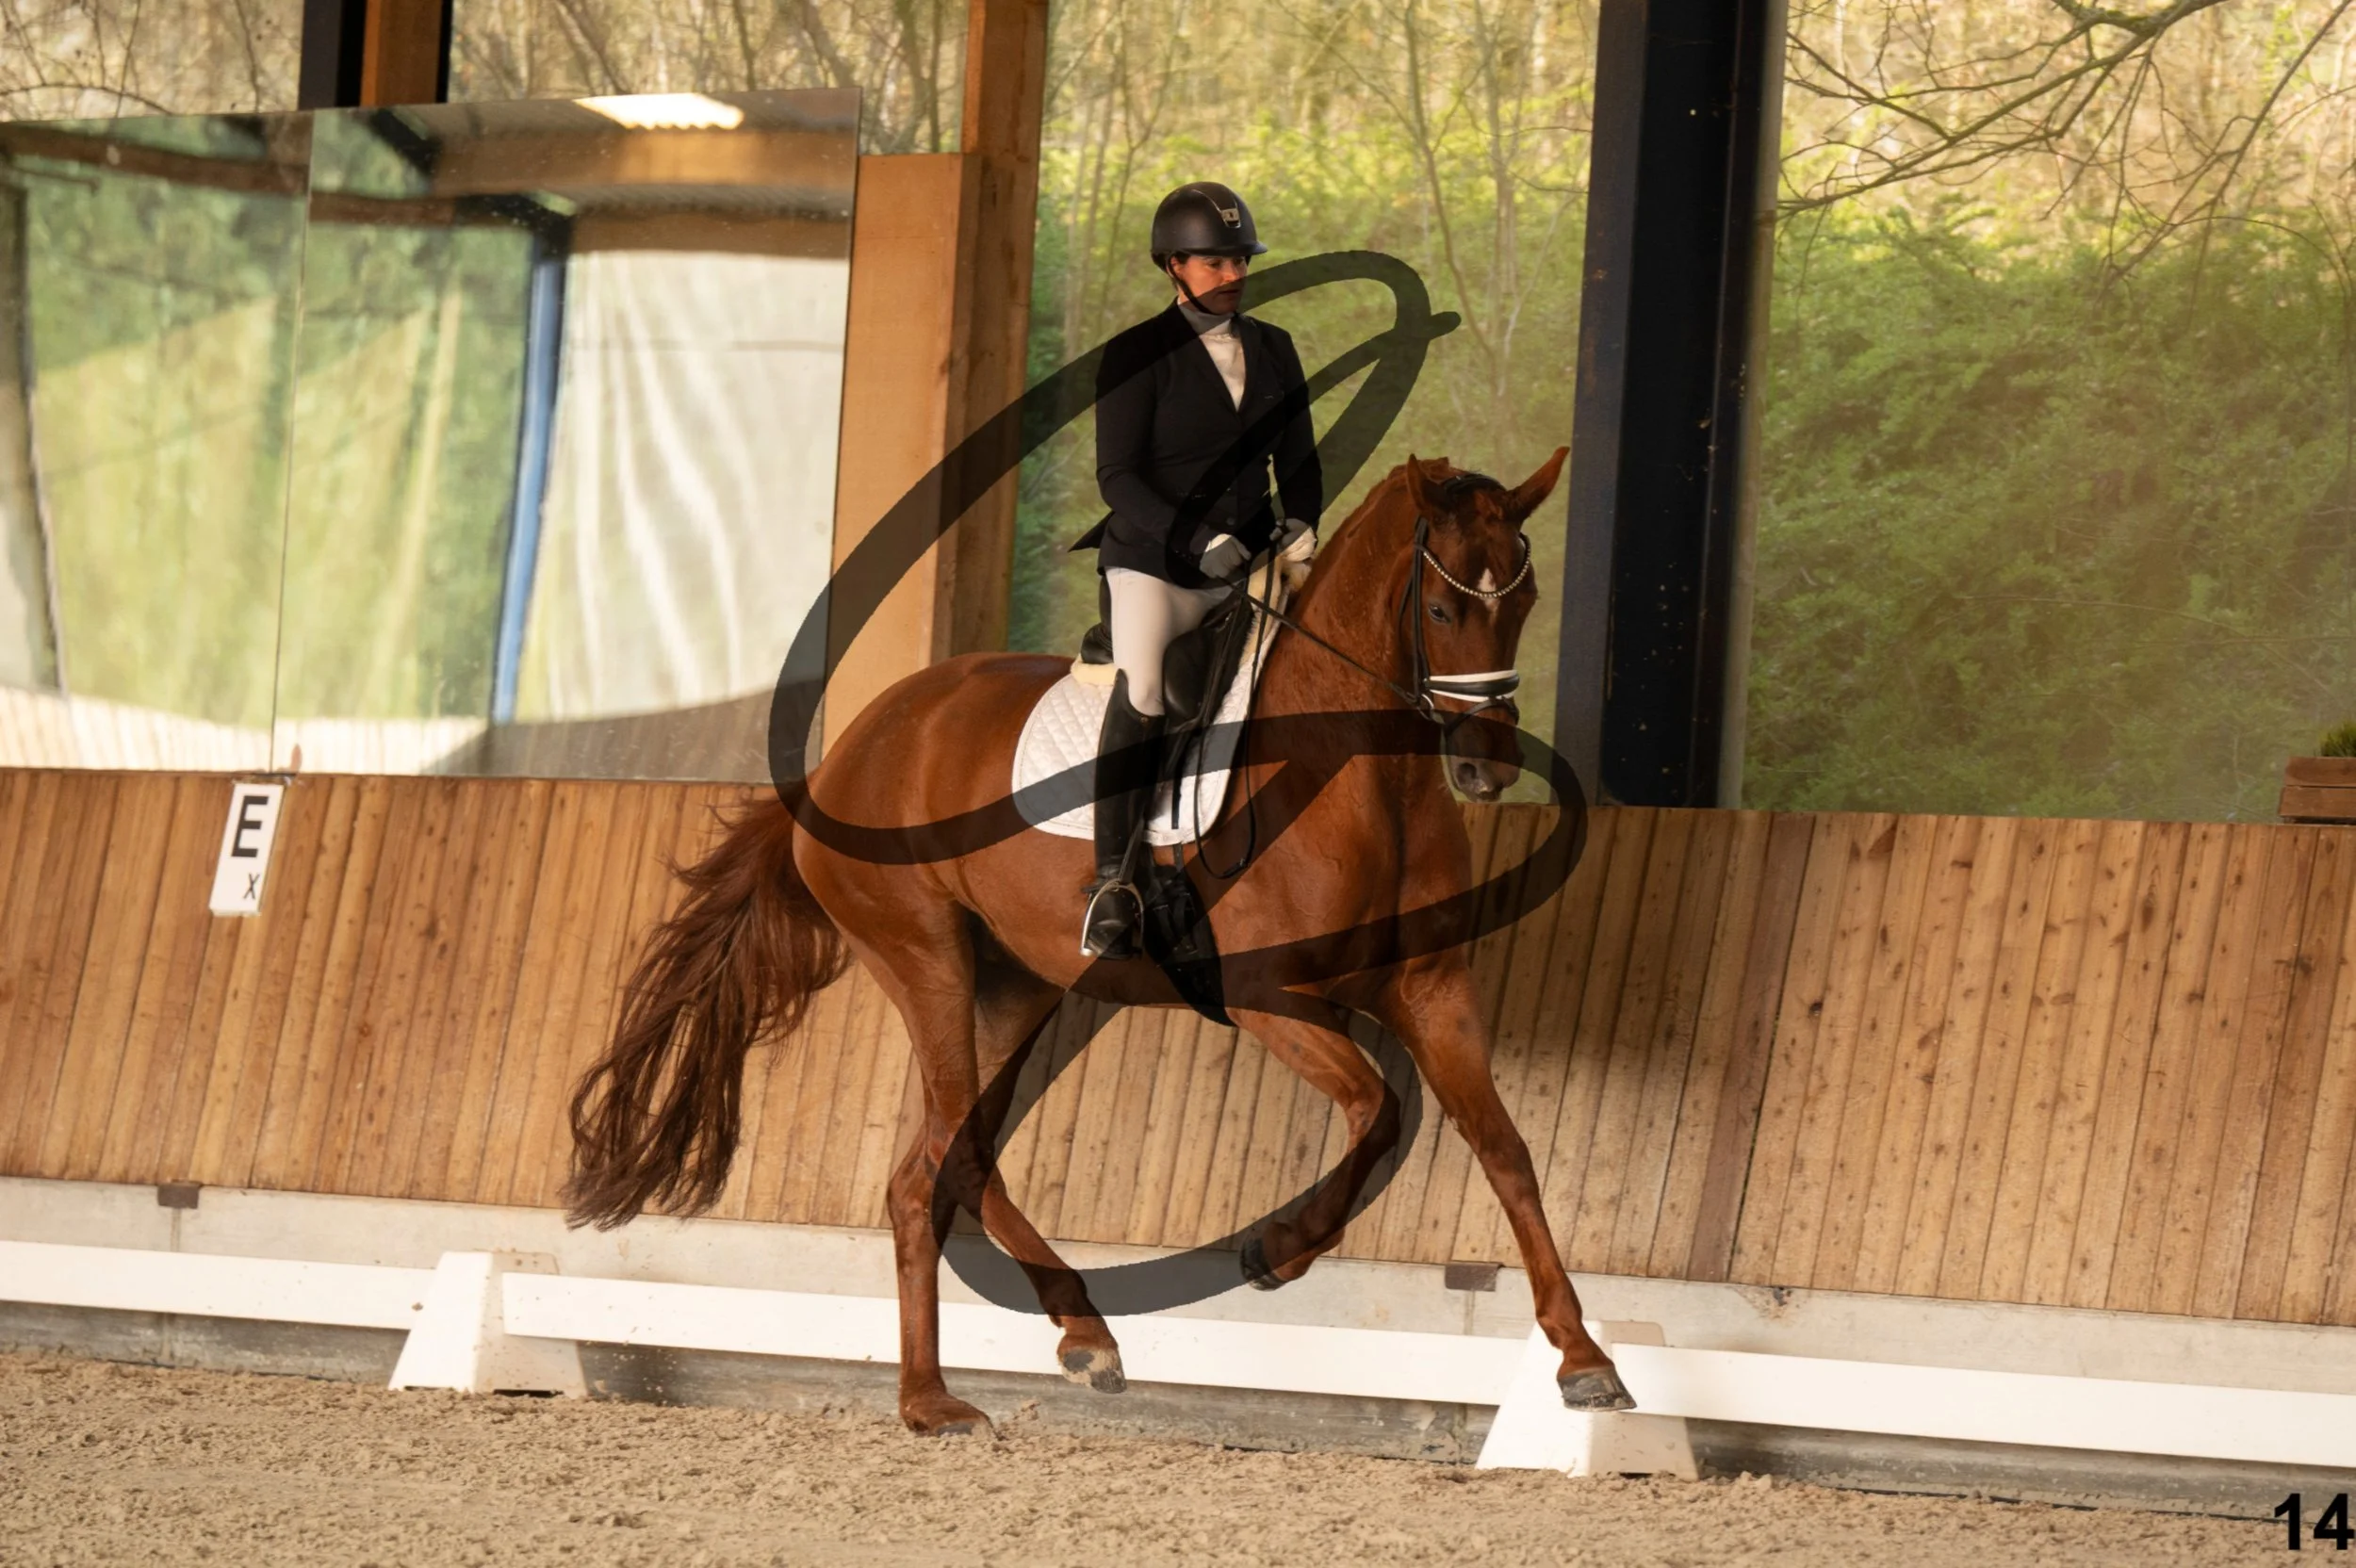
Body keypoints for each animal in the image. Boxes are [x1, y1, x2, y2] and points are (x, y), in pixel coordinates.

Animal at [561, 447, 1636, 1436]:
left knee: (923, 1173)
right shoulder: (1264, 996)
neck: (1358, 774)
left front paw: (1583, 1357)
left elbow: (1504, 1150)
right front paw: (1275, 1250)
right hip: (926, 958)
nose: (1486, 769)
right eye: (1445, 611)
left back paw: (934, 1396)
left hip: (1015, 987)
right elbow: (1378, 1112)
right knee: (959, 1151)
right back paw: (1077, 1335)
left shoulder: (1432, 988)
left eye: (1525, 599)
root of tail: (846, 753)